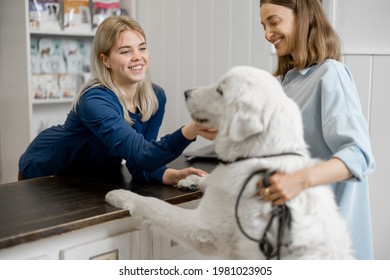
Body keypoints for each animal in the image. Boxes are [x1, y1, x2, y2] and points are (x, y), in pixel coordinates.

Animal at [105, 66, 354, 260]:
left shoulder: (202, 228)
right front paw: (190, 179)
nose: (186, 92)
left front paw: (121, 195)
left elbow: (154, 205)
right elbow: (210, 179)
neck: (263, 155)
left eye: (220, 90)